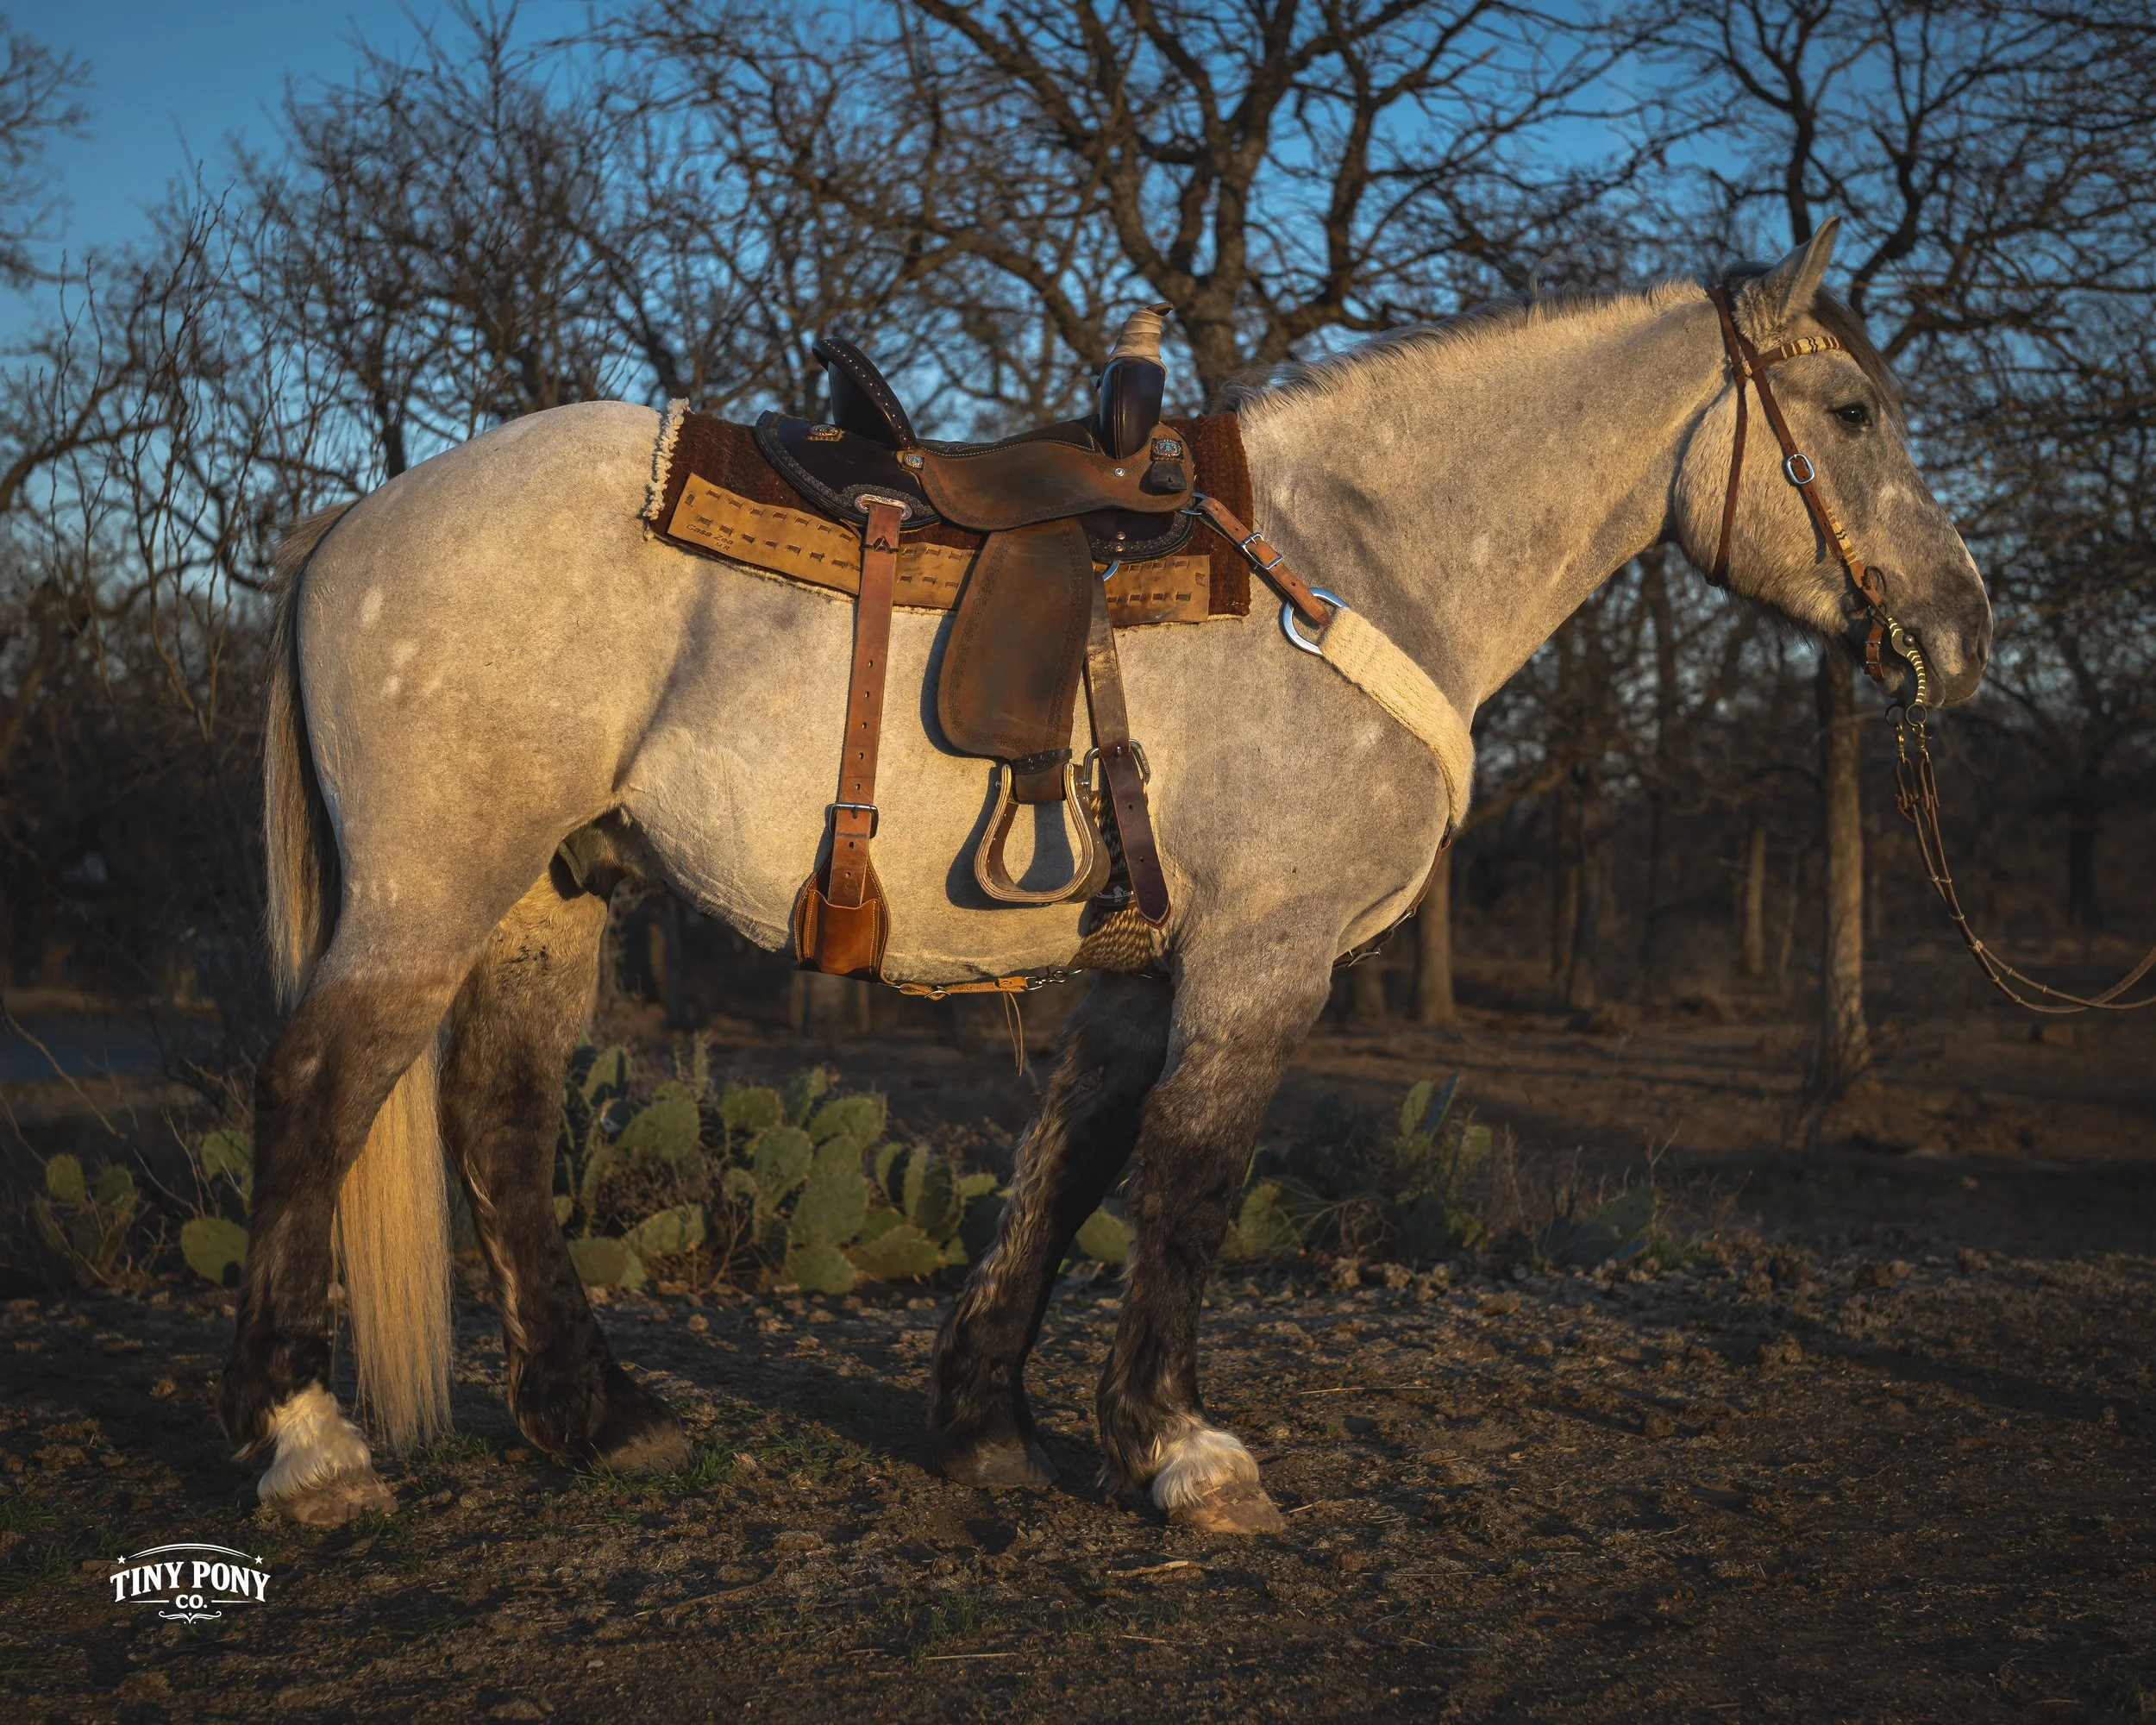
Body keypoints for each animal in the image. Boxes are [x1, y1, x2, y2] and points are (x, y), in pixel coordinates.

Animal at [222, 219, 1988, 1530]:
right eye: (1852, 416)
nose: (1965, 630)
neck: (1351, 564)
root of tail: (355, 519)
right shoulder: (1265, 958)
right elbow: (1194, 1180)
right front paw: (1179, 1451)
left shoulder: (1143, 972)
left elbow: (1068, 1171)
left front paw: (988, 1426)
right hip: (427, 899)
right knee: (314, 1097)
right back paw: (309, 1447)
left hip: (548, 895)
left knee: (499, 1119)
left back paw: (594, 1419)